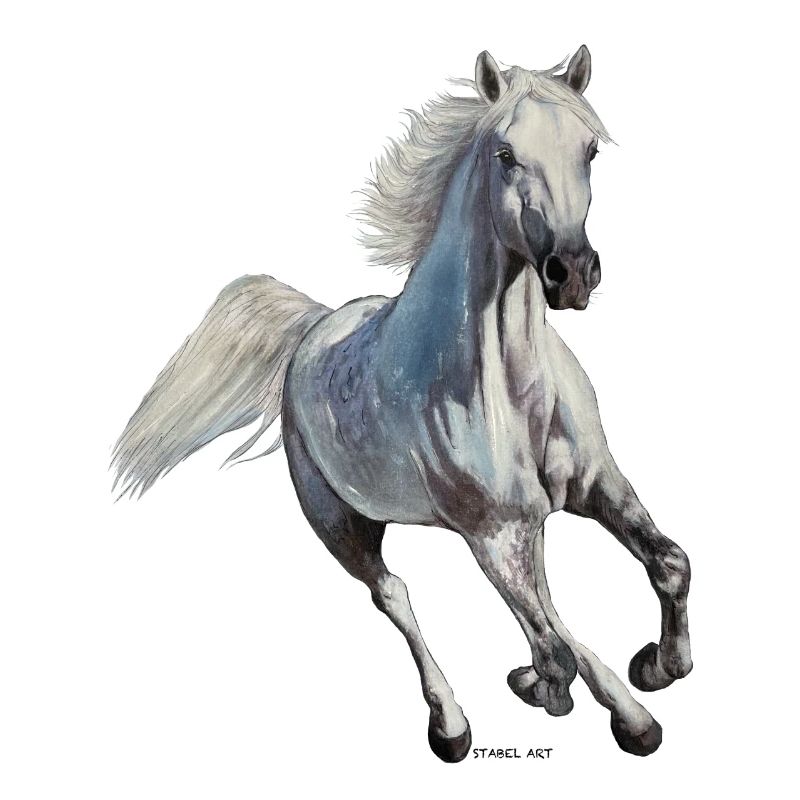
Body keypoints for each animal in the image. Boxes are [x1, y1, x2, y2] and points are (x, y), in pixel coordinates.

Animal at [112, 46, 692, 762]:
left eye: (589, 151)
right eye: (505, 153)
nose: (572, 273)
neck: (507, 388)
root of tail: (314, 327)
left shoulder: (595, 485)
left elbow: (667, 564)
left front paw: (656, 668)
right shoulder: (491, 531)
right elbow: (555, 649)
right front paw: (569, 694)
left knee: (547, 606)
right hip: (341, 524)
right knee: (396, 594)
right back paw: (452, 724)